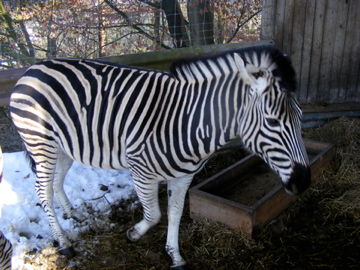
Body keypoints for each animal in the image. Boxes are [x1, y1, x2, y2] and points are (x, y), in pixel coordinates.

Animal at [9, 45, 310, 268]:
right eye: (272, 121)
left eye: (301, 116)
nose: (304, 182)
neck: (188, 123)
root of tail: (33, 69)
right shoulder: (141, 172)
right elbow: (154, 214)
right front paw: (134, 233)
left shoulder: (185, 176)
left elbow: (175, 213)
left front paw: (174, 255)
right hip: (41, 143)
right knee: (43, 190)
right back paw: (64, 242)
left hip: (64, 147)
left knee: (56, 182)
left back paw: (74, 215)